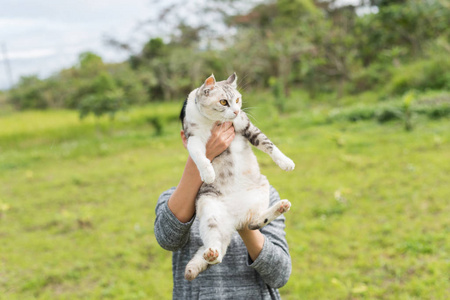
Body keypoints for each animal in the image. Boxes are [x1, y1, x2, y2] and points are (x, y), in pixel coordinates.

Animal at [183, 73, 296, 282]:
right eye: (223, 101)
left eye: (237, 100)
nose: (235, 111)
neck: (213, 123)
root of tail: (234, 222)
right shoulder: (193, 137)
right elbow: (198, 155)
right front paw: (208, 172)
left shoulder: (246, 125)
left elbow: (268, 144)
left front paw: (286, 162)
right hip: (208, 207)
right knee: (217, 250)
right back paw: (212, 253)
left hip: (261, 187)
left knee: (253, 223)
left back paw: (280, 207)